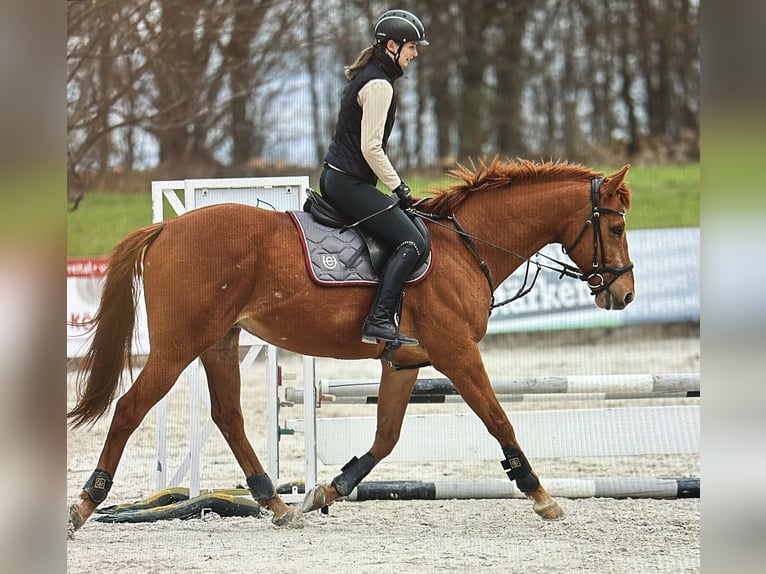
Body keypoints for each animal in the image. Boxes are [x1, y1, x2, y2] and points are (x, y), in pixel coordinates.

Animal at [67, 158, 636, 536]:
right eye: (615, 225)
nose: (624, 293)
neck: (466, 247)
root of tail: (168, 225)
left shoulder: (405, 363)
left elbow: (386, 438)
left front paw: (327, 491)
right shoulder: (457, 354)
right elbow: (500, 420)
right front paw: (540, 494)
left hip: (220, 342)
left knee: (228, 415)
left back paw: (277, 505)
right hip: (179, 345)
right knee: (130, 408)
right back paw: (85, 504)